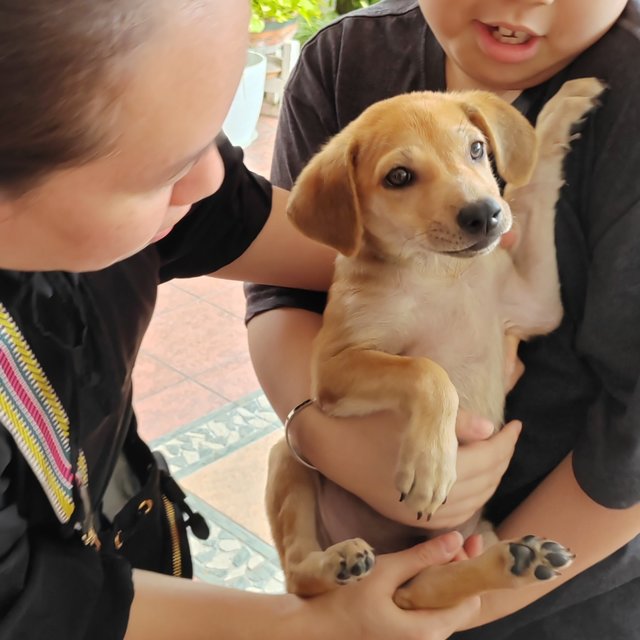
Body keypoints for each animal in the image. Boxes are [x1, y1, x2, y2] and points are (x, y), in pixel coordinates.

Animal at [266, 77, 604, 608]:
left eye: (477, 149)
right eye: (399, 176)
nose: (485, 214)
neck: (439, 272)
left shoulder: (539, 302)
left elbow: (533, 192)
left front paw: (561, 114)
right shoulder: (334, 367)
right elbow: (426, 371)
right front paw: (430, 464)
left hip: (465, 539)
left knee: (421, 591)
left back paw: (520, 562)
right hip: (287, 458)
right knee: (303, 577)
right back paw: (338, 562)